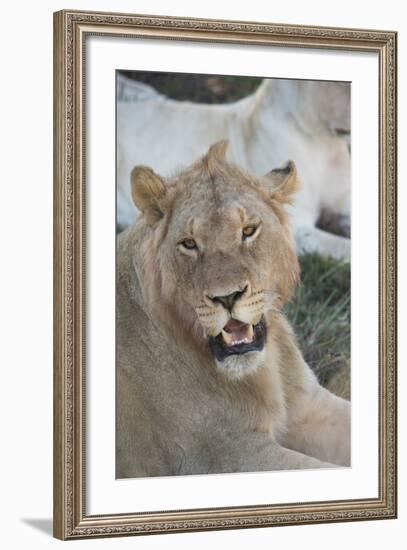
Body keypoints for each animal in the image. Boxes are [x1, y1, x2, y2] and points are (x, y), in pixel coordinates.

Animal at [117, 139, 350, 478]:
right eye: (189, 243)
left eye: (248, 230)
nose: (227, 298)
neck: (265, 368)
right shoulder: (225, 455)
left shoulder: (310, 406)